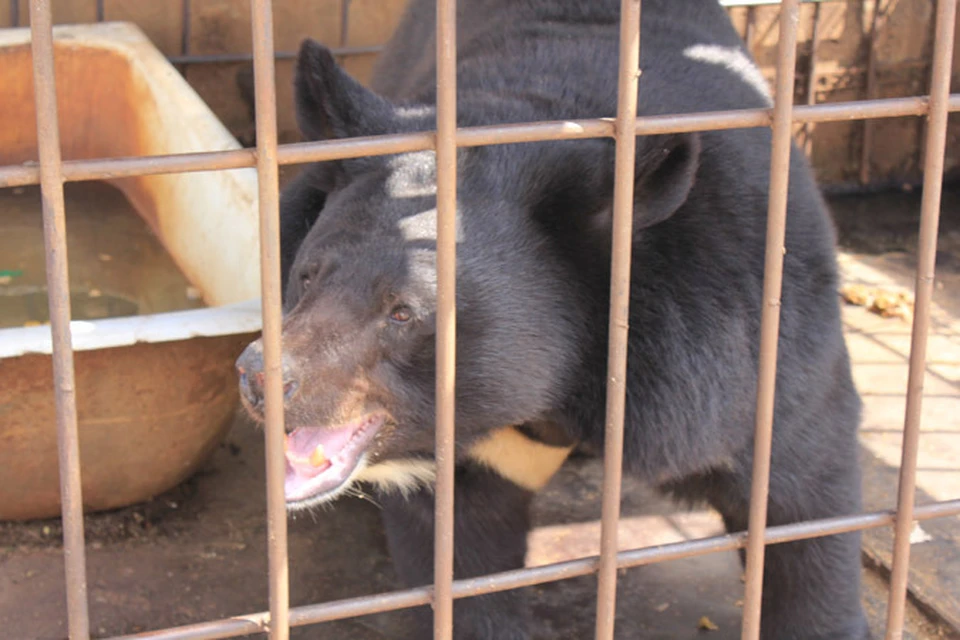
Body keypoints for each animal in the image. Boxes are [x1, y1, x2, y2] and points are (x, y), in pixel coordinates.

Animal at [238, 2, 872, 636]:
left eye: (403, 313)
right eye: (306, 276)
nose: (259, 377)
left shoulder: (747, 332)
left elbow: (800, 500)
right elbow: (463, 557)